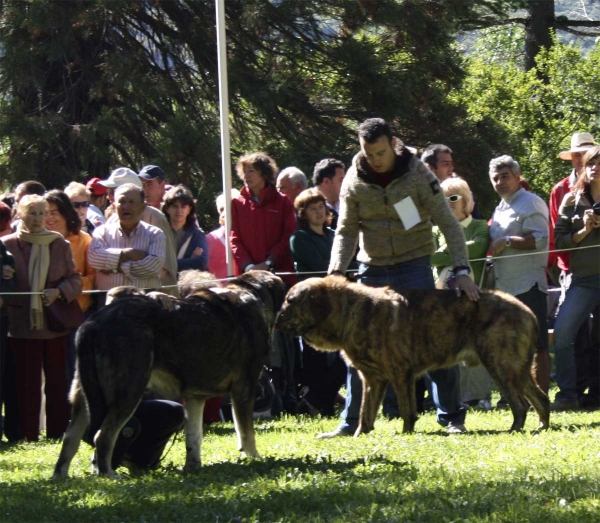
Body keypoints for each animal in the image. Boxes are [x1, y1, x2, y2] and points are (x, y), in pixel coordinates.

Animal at [276, 276, 548, 436]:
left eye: (290, 301)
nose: (276, 320)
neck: (348, 313)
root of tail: (528, 312)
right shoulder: (373, 379)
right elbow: (365, 411)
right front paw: (359, 435)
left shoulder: (400, 373)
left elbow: (407, 410)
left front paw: (406, 433)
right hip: (518, 369)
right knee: (541, 399)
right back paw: (541, 426)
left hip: (501, 365)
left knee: (520, 404)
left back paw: (515, 429)